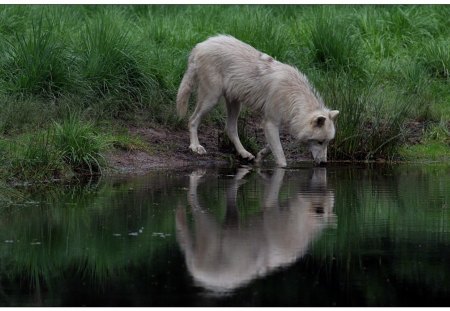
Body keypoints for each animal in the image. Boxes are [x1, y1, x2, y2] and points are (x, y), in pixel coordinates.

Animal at [176, 35, 338, 167]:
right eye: (319, 142)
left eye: (327, 142)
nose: (324, 163)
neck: (292, 95)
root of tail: (200, 46)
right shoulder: (270, 122)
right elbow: (281, 158)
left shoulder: (281, 123)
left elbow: (272, 146)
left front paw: (260, 156)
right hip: (211, 99)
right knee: (192, 120)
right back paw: (195, 147)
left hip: (235, 103)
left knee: (230, 128)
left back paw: (244, 153)